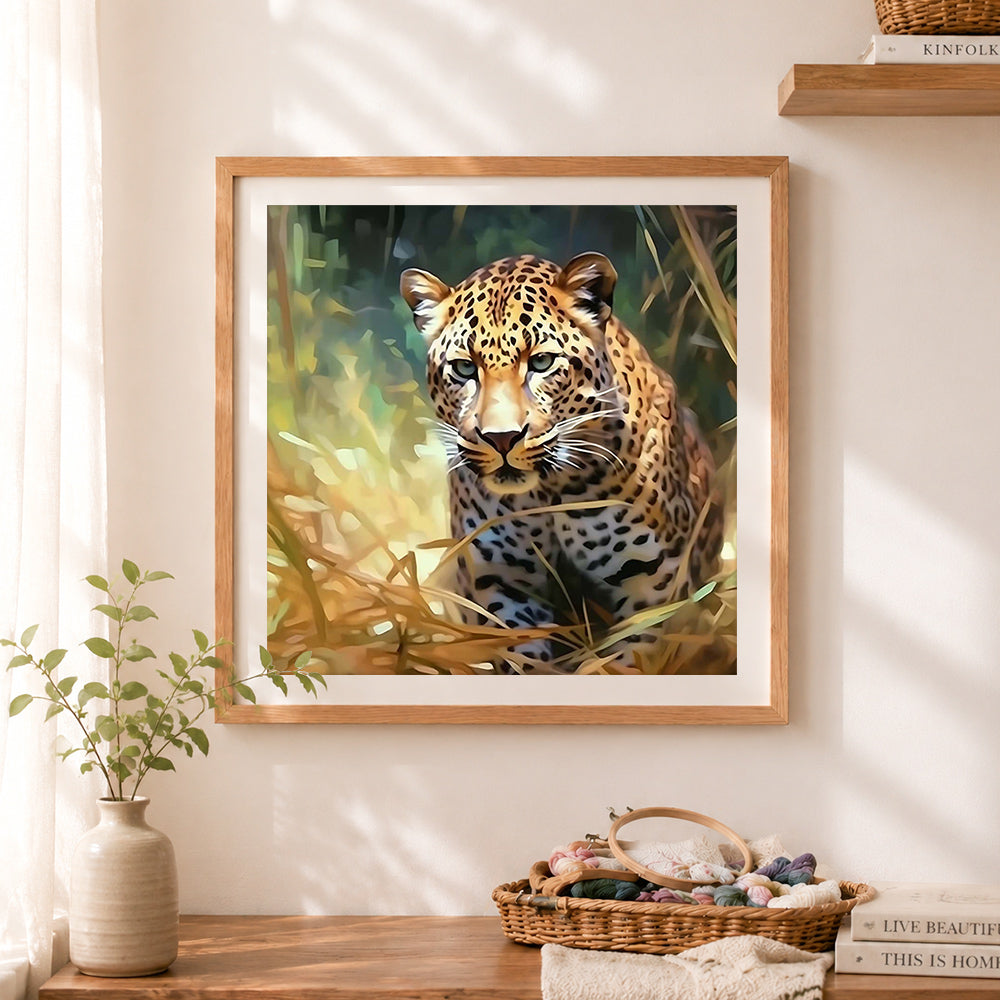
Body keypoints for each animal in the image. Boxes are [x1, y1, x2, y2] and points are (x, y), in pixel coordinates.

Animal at [400, 252, 723, 673]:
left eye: (541, 362)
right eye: (465, 368)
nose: (501, 438)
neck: (548, 493)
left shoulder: (656, 582)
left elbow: (628, 658)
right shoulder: (500, 581)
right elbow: (522, 656)